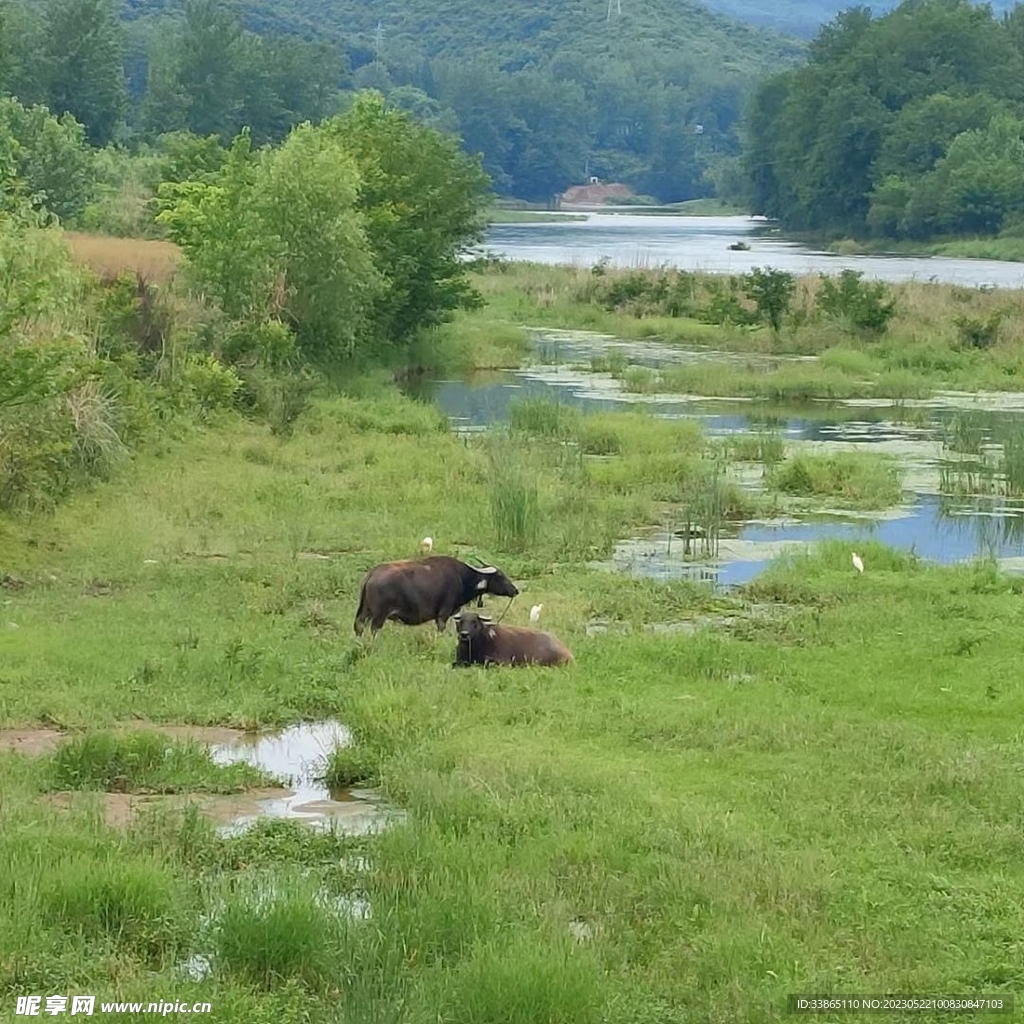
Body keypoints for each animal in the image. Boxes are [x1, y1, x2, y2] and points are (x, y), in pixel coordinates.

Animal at [354, 557, 520, 634]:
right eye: (500, 576)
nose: (515, 590)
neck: (462, 577)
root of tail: (372, 575)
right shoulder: (443, 613)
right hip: (379, 616)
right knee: (374, 630)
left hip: (364, 612)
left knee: (359, 627)